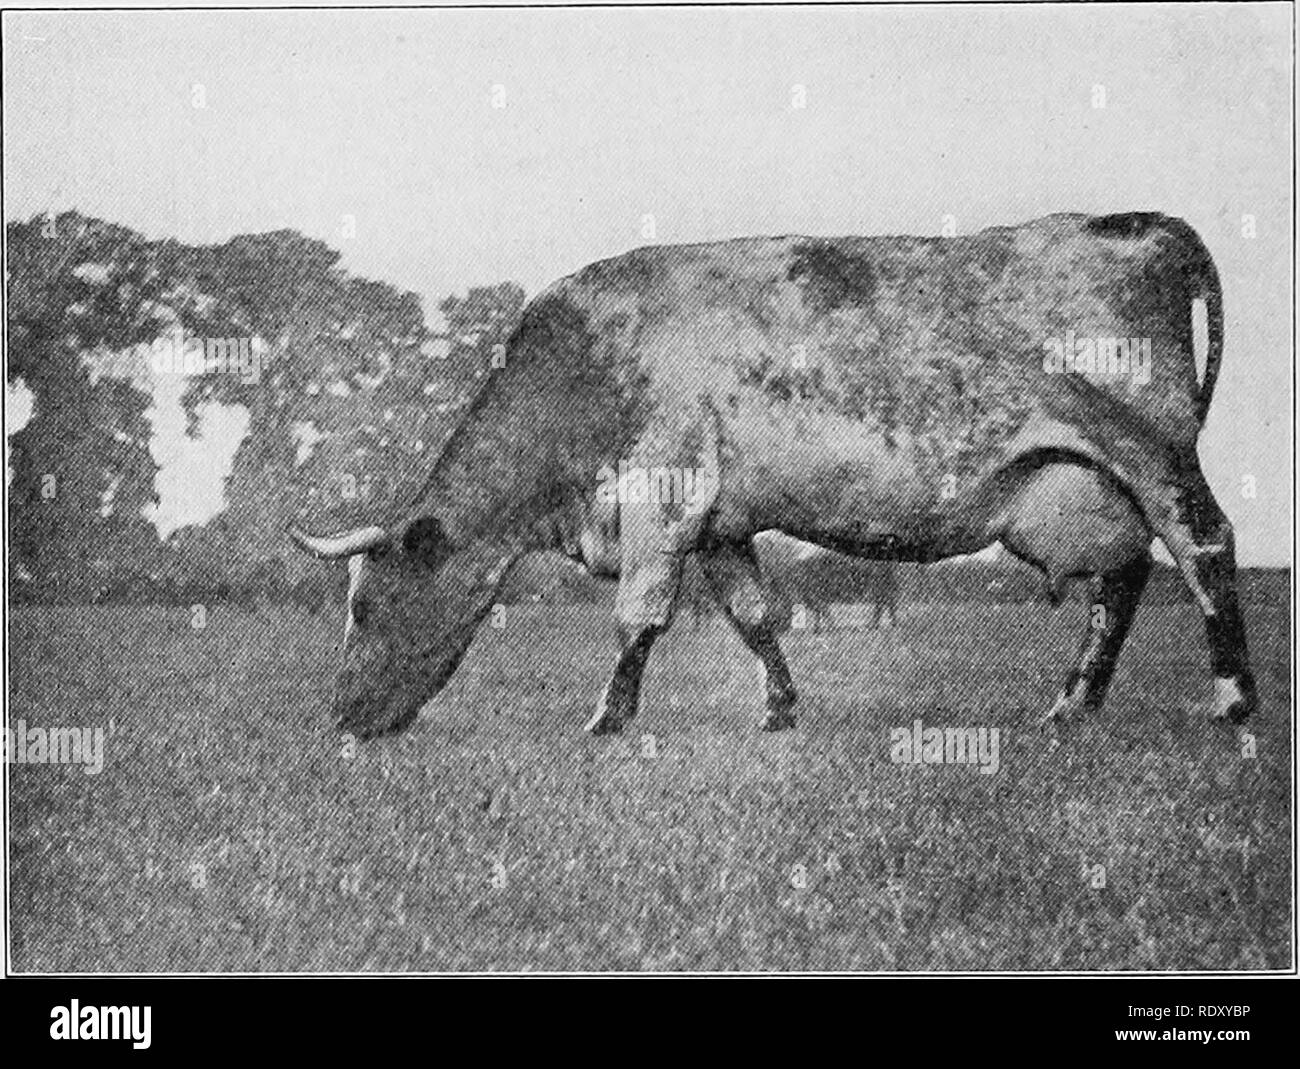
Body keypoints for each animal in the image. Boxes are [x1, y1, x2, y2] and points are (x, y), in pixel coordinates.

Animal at [289, 213, 1253, 738]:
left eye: (366, 605)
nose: (339, 717)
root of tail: (1130, 223)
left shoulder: (663, 498)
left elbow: (639, 615)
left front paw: (606, 718)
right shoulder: (721, 524)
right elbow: (756, 616)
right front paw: (780, 710)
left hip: (1154, 452)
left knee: (1204, 548)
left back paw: (1232, 702)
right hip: (1092, 486)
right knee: (1123, 579)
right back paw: (1071, 707)